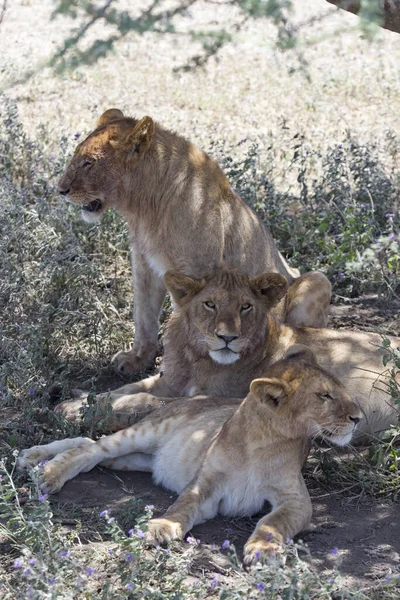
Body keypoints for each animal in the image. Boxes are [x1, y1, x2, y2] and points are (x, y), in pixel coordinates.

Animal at [16, 346, 362, 564]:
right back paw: (45, 471)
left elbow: (273, 522)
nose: (358, 417)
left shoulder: (296, 501)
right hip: (145, 432)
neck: (263, 439)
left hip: (139, 458)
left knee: (90, 445)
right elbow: (182, 505)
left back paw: (32, 459)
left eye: (338, 389)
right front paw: (160, 528)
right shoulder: (203, 484)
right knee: (90, 448)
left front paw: (263, 550)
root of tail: (177, 399)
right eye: (325, 395)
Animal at [57, 106, 332, 370]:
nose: (60, 190)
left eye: (88, 163)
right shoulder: (145, 264)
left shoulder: (197, 270)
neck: (145, 207)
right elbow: (143, 316)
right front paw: (137, 359)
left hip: (318, 280)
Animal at [58, 270, 400, 438]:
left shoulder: (231, 399)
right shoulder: (168, 380)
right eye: (210, 305)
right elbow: (126, 389)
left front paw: (78, 411)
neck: (197, 359)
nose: (227, 337)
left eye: (245, 307)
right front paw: (76, 401)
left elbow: (146, 402)